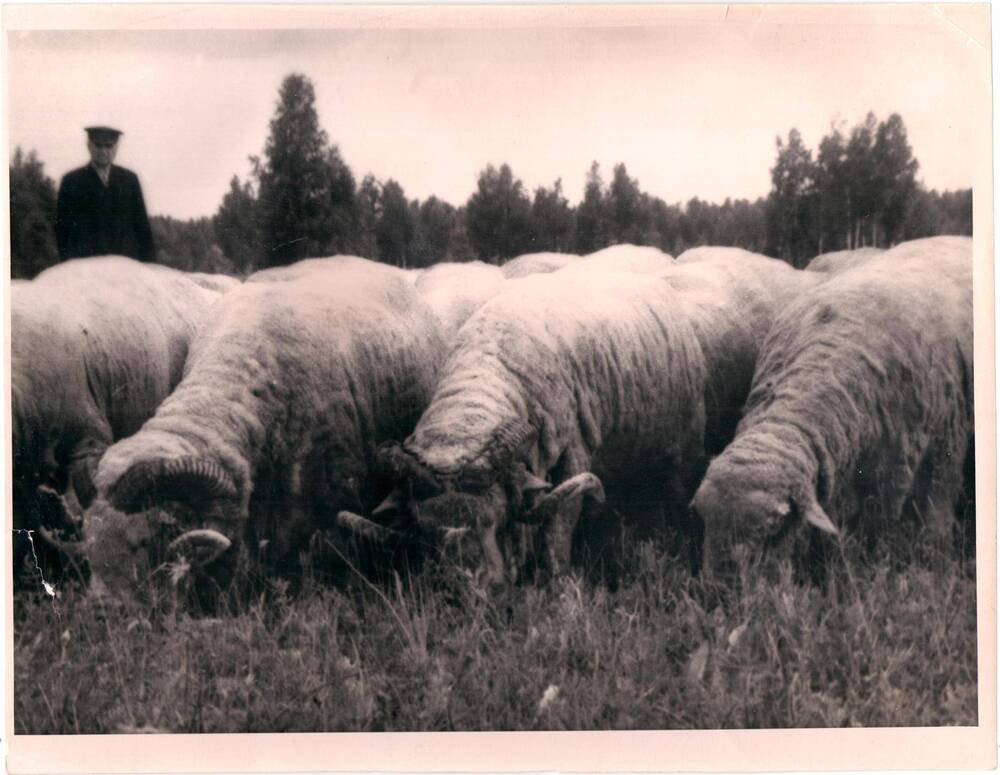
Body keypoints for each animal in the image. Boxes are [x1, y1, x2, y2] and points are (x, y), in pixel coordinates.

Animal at [338, 270, 712, 592]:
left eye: (497, 520)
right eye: (422, 530)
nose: (464, 589)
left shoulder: (574, 451)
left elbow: (558, 525)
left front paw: (557, 581)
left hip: (684, 444)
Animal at [692, 236, 972, 584]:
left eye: (774, 530)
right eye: (703, 519)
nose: (720, 591)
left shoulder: (939, 455)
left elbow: (931, 527)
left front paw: (931, 571)